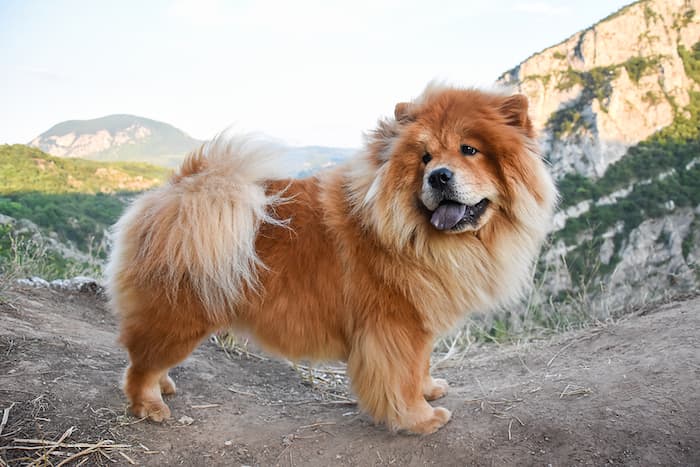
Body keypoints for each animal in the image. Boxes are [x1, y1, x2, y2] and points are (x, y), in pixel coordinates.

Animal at [106, 85, 556, 436]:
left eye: (469, 150)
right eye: (425, 158)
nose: (439, 176)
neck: (412, 234)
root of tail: (174, 193)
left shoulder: (420, 319)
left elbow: (422, 366)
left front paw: (430, 389)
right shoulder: (396, 327)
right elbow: (402, 379)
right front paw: (420, 418)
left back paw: (165, 387)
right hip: (181, 316)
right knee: (140, 365)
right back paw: (150, 405)